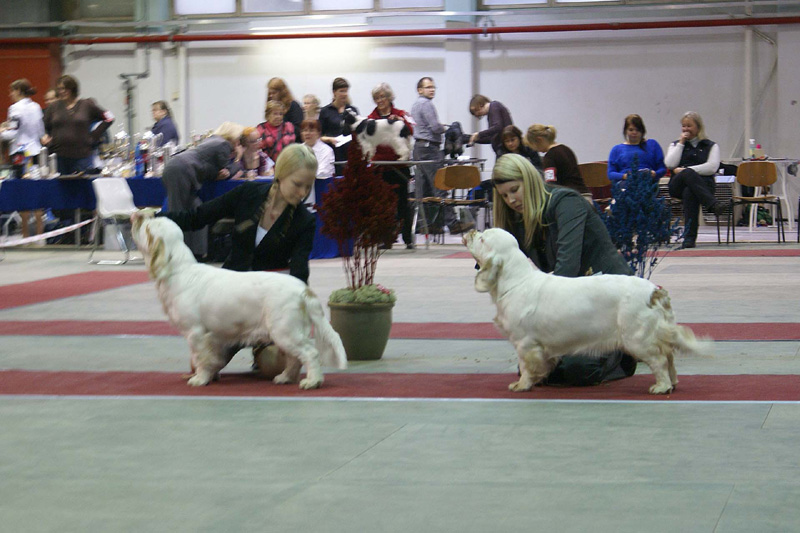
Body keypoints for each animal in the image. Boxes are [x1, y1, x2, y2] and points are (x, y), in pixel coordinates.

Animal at [131, 211, 347, 389]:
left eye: (148, 228)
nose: (138, 216)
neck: (178, 270)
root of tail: (303, 289)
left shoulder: (196, 333)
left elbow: (201, 358)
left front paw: (200, 380)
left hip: (285, 331)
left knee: (310, 353)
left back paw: (312, 381)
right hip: (289, 332)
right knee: (295, 359)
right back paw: (285, 378)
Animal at [463, 228, 709, 394]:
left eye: (482, 239)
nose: (471, 231)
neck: (515, 280)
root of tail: (654, 291)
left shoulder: (525, 342)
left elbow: (525, 366)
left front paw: (522, 385)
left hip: (637, 338)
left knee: (659, 359)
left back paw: (661, 386)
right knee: (669, 357)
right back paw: (672, 383)